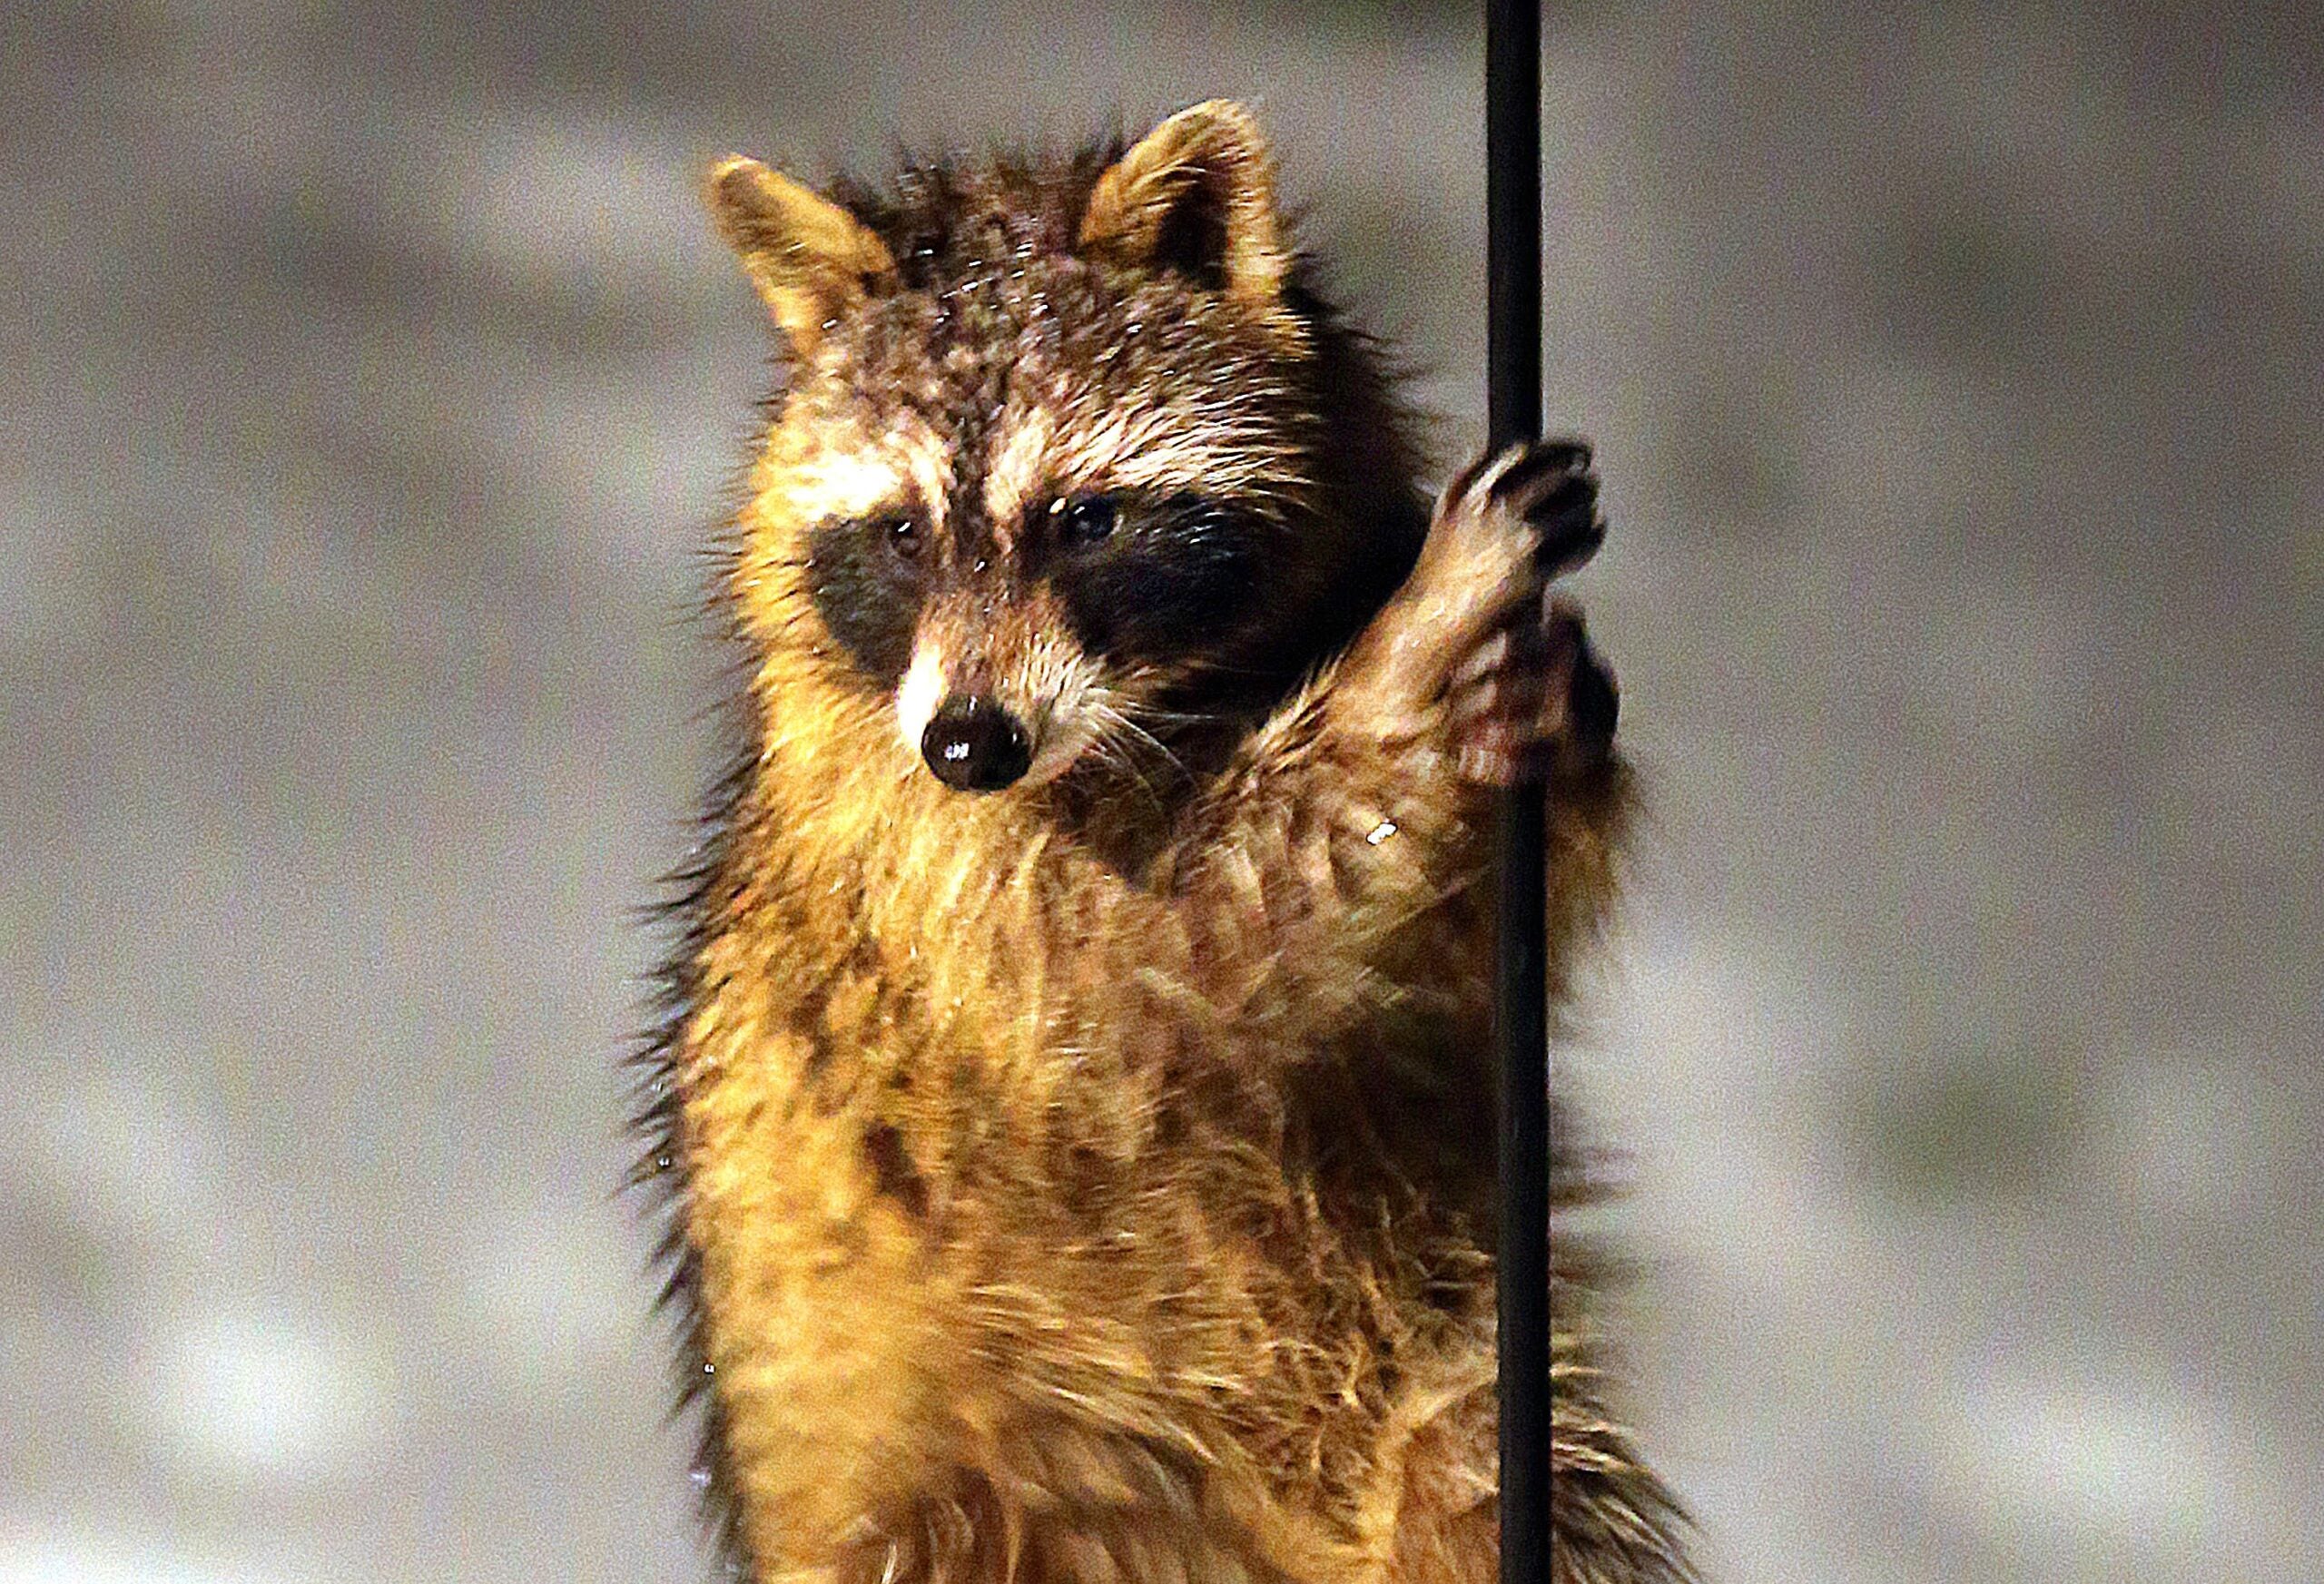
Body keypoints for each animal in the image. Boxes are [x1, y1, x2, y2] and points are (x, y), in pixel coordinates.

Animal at [634, 100, 1691, 1584]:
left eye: (1085, 518)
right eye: (899, 533)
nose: (973, 745)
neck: (1169, 705)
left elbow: (1449, 958)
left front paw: (1548, 718)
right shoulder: (911, 857)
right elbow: (1152, 963)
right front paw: (1412, 652)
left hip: (1443, 1389)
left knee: (1475, 1466)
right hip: (975, 1483)